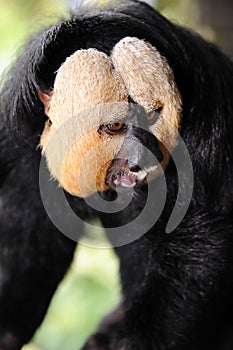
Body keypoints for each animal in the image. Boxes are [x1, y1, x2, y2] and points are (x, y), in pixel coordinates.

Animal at [0, 0, 233, 350]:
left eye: (151, 116)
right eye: (115, 126)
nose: (141, 160)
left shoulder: (209, 136)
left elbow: (200, 249)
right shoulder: (22, 156)